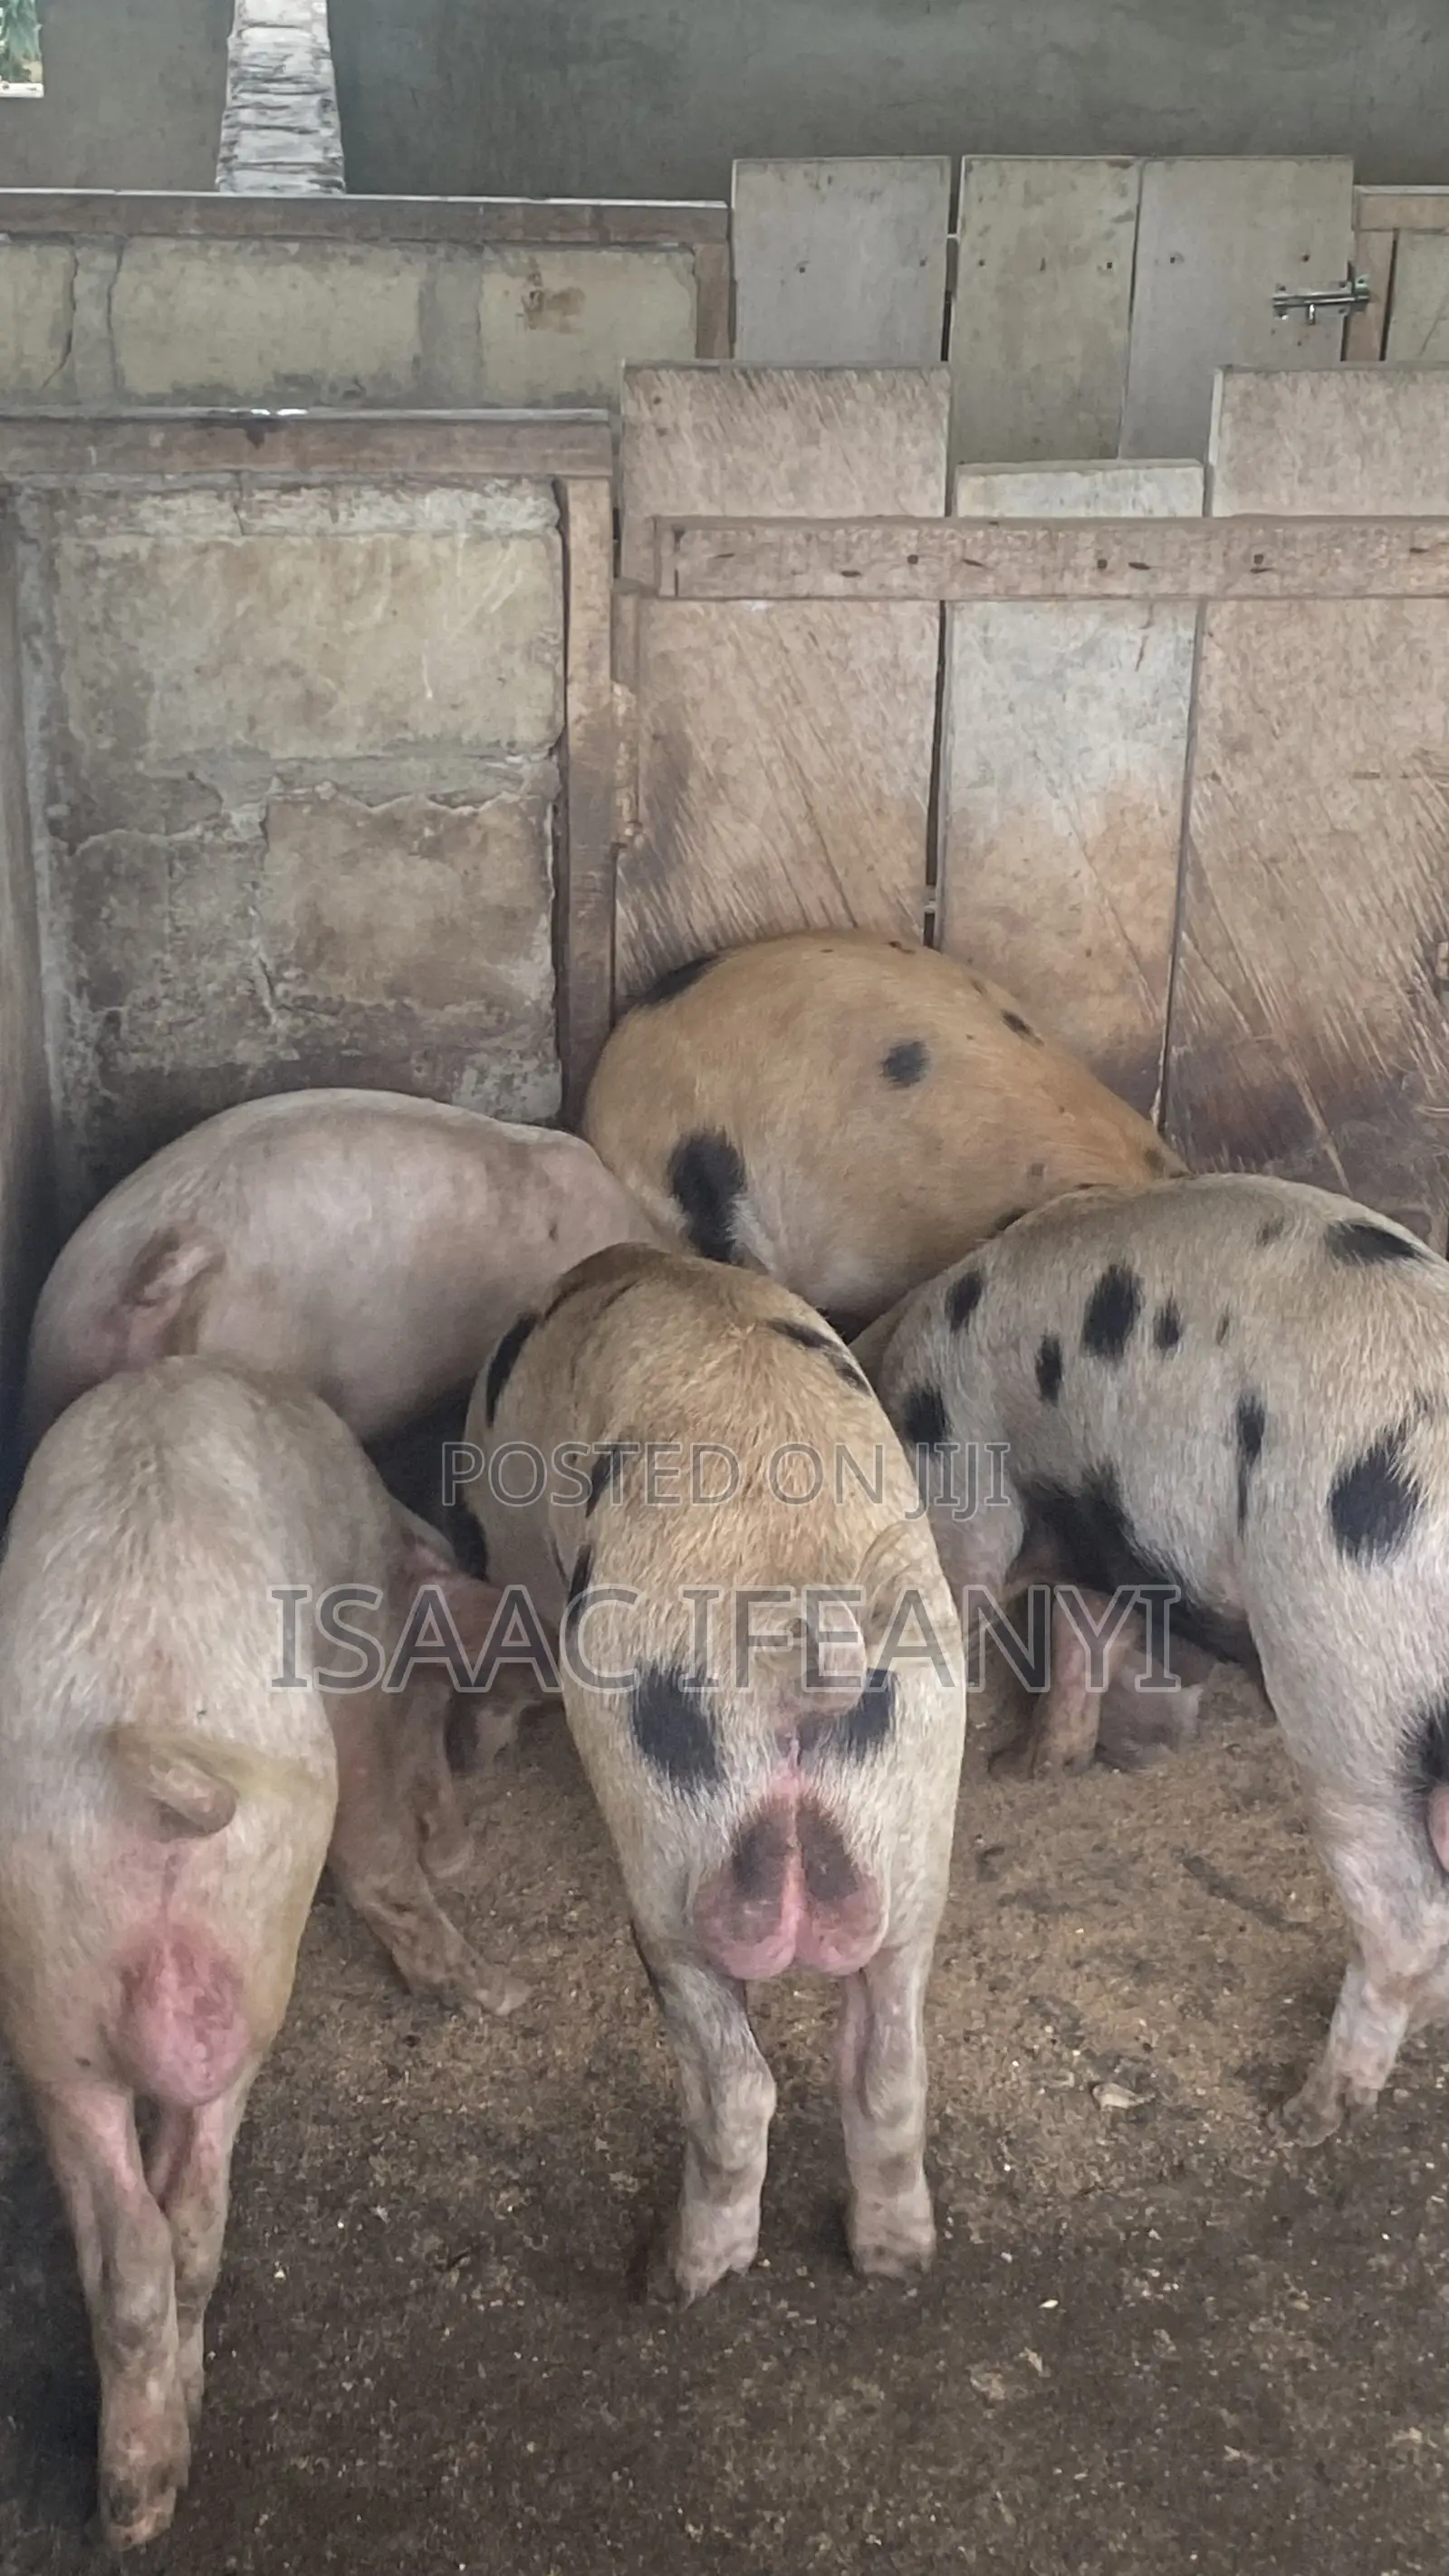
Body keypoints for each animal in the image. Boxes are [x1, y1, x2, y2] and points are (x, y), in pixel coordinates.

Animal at [0, 1359, 518, 2549]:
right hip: (245, 1933)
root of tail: (148, 1760)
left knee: (147, 2239)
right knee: (184, 2218)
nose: (463, 1842)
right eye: (435, 1690)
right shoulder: (361, 1680)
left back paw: (136, 2501)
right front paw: (496, 1989)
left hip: (65, 1982)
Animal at [462, 1243, 966, 2302]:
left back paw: (675, 2274)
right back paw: (895, 2259)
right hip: (912, 1828)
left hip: (671, 1854)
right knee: (890, 2067)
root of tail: (798, 1637)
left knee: (737, 2085)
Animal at [860, 1171, 1449, 2144]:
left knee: (1408, 1913)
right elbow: (1079, 1630)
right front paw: (1031, 1766)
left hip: (1349, 1688)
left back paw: (1305, 2113)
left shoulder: (967, 1478)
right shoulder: (1107, 1530)